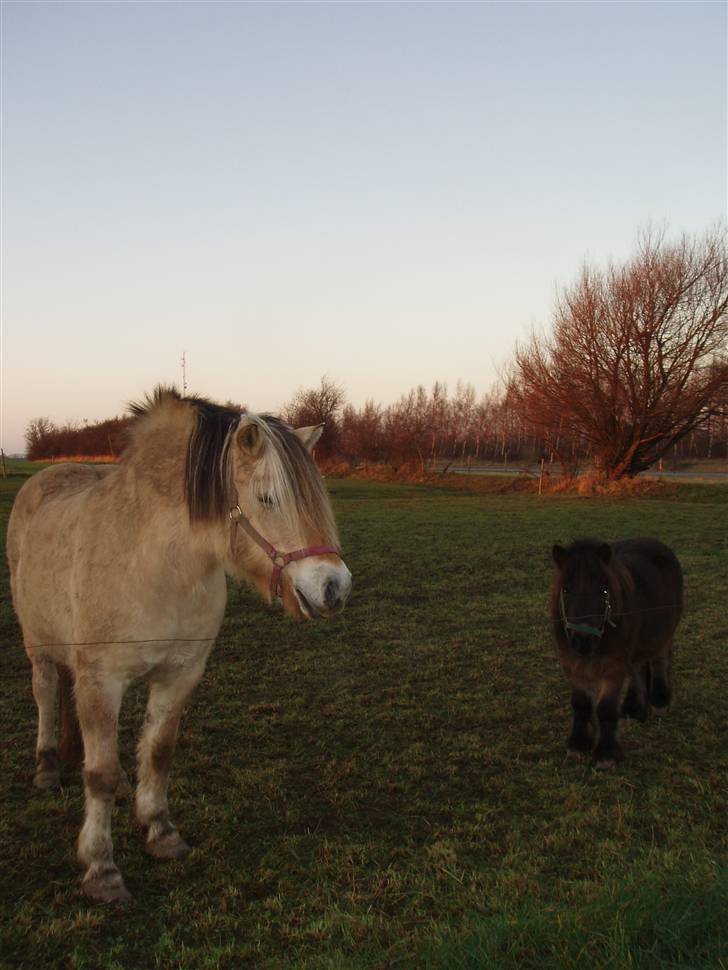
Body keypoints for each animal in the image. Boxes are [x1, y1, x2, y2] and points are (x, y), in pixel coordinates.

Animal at [552, 536, 684, 764]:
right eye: (566, 590)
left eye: (604, 590)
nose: (582, 640)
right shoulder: (573, 665)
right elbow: (581, 704)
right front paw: (578, 744)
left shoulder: (613, 667)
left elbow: (605, 708)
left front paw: (606, 754)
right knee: (638, 669)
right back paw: (633, 708)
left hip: (663, 635)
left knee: (660, 662)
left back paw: (660, 701)